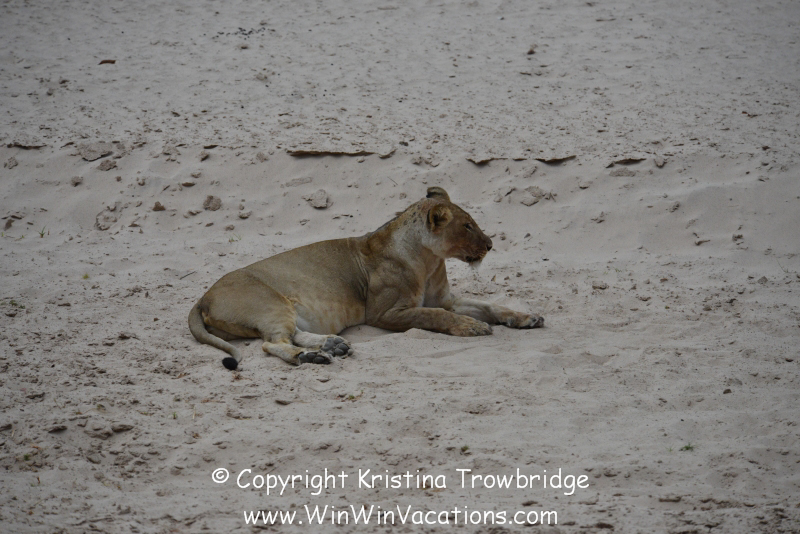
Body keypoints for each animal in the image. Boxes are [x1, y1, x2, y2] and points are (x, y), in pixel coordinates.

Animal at [188, 187, 544, 370]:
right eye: (467, 226)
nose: (490, 244)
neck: (430, 260)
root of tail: (202, 298)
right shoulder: (385, 313)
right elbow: (434, 315)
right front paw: (471, 327)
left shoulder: (447, 298)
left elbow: (491, 306)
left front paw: (527, 317)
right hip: (270, 303)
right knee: (270, 343)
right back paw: (312, 356)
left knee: (290, 335)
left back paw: (331, 345)